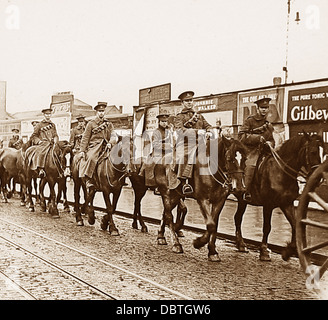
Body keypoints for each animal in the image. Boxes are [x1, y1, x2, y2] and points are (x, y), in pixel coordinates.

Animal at [153, 134, 246, 262]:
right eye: (229, 158)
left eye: (245, 159)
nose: (240, 188)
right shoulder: (202, 199)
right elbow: (210, 225)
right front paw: (198, 242)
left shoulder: (219, 201)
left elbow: (214, 225)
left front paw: (212, 251)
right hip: (166, 193)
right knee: (169, 216)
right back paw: (176, 244)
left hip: (176, 196)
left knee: (165, 213)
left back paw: (161, 236)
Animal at [233, 134, 322, 262]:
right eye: (313, 152)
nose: (318, 178)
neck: (280, 171)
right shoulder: (268, 205)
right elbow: (267, 227)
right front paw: (264, 251)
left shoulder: (287, 204)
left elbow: (295, 225)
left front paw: (289, 251)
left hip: (242, 201)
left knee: (237, 218)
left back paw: (241, 245)